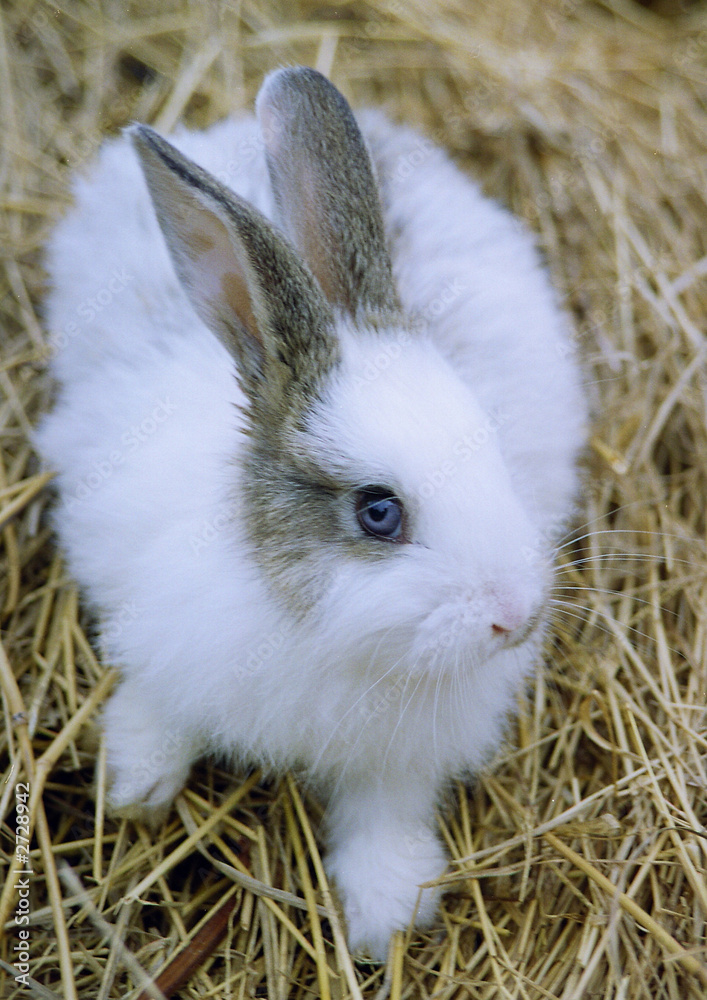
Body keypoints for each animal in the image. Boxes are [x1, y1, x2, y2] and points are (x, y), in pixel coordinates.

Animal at [37, 66, 587, 961]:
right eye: (377, 512)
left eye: (490, 439)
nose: (518, 616)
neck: (317, 626)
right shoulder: (152, 623)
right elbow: (156, 705)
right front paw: (136, 788)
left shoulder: (400, 759)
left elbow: (385, 812)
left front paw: (385, 915)